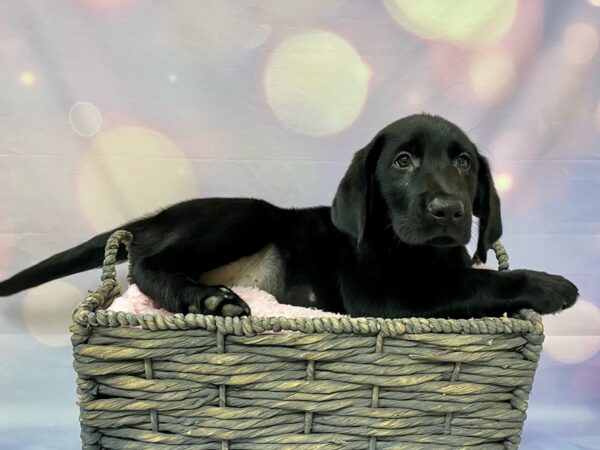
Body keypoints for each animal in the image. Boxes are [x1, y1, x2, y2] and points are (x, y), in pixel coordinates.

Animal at [0, 114, 580, 318]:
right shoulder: (384, 297)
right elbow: (475, 285)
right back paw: (206, 298)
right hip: (246, 217)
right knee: (146, 265)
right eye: (402, 161)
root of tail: (159, 215)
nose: (447, 210)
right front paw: (551, 285)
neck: (415, 252)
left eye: (464, 162)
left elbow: (469, 273)